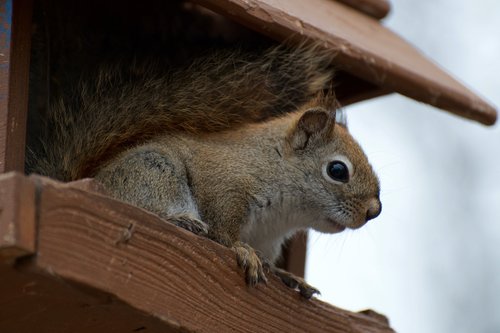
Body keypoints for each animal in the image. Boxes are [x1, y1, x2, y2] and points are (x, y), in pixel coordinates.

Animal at [27, 42, 382, 298]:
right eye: (337, 170)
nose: (374, 211)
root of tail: (82, 181)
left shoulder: (269, 238)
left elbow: (271, 262)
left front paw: (289, 276)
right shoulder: (225, 186)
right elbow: (225, 232)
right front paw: (242, 250)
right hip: (154, 173)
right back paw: (181, 220)